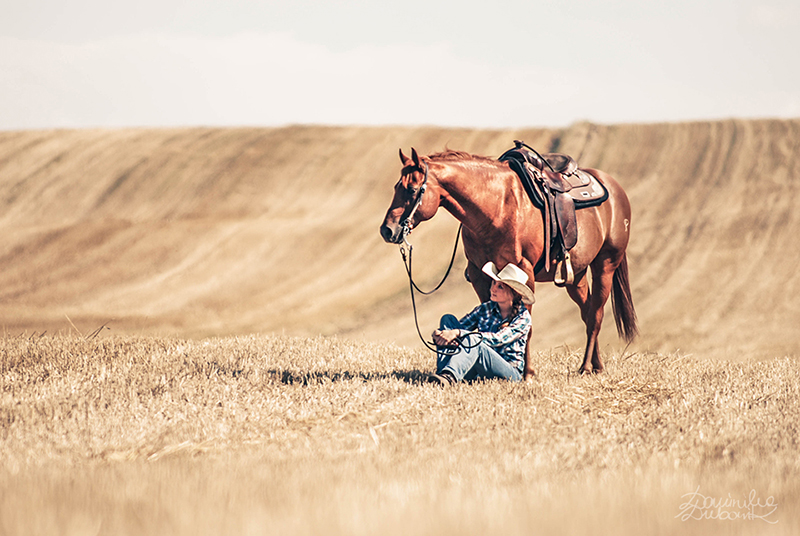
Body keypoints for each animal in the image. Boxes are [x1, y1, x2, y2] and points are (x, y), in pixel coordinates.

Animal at [380, 147, 636, 376]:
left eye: (412, 189)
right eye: (396, 187)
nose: (387, 230)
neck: (497, 206)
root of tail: (615, 188)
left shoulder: (524, 270)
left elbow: (526, 327)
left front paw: (528, 373)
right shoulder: (479, 274)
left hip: (605, 265)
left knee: (596, 315)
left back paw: (586, 367)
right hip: (576, 276)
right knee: (587, 312)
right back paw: (596, 365)